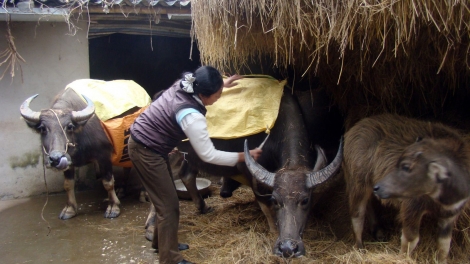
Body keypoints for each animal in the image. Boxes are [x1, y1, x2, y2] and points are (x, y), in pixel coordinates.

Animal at [20, 87, 123, 220]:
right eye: (42, 128)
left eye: (69, 126)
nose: (55, 159)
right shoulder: (68, 162)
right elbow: (68, 184)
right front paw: (69, 209)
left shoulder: (104, 156)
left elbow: (108, 182)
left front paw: (113, 207)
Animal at [145, 89, 344, 258]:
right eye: (276, 200)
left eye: (305, 200)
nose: (288, 248)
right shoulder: (248, 170)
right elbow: (263, 202)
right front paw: (273, 230)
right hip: (168, 154)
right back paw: (151, 228)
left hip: (190, 156)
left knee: (186, 175)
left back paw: (203, 207)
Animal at [342, 114, 470, 264]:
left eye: (406, 167)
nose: (380, 187)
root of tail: (355, 128)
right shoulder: (412, 209)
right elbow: (410, 240)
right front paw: (402, 258)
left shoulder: (450, 215)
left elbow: (444, 244)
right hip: (358, 183)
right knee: (357, 215)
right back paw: (360, 248)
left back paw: (378, 231)